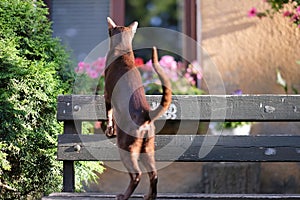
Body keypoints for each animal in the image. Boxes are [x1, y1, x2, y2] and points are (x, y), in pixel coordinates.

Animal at [104, 17, 172, 200]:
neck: (123, 50)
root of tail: (146, 115)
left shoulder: (107, 96)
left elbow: (109, 116)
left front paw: (109, 131)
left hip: (126, 146)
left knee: (136, 174)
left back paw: (124, 196)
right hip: (147, 148)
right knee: (154, 174)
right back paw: (149, 196)